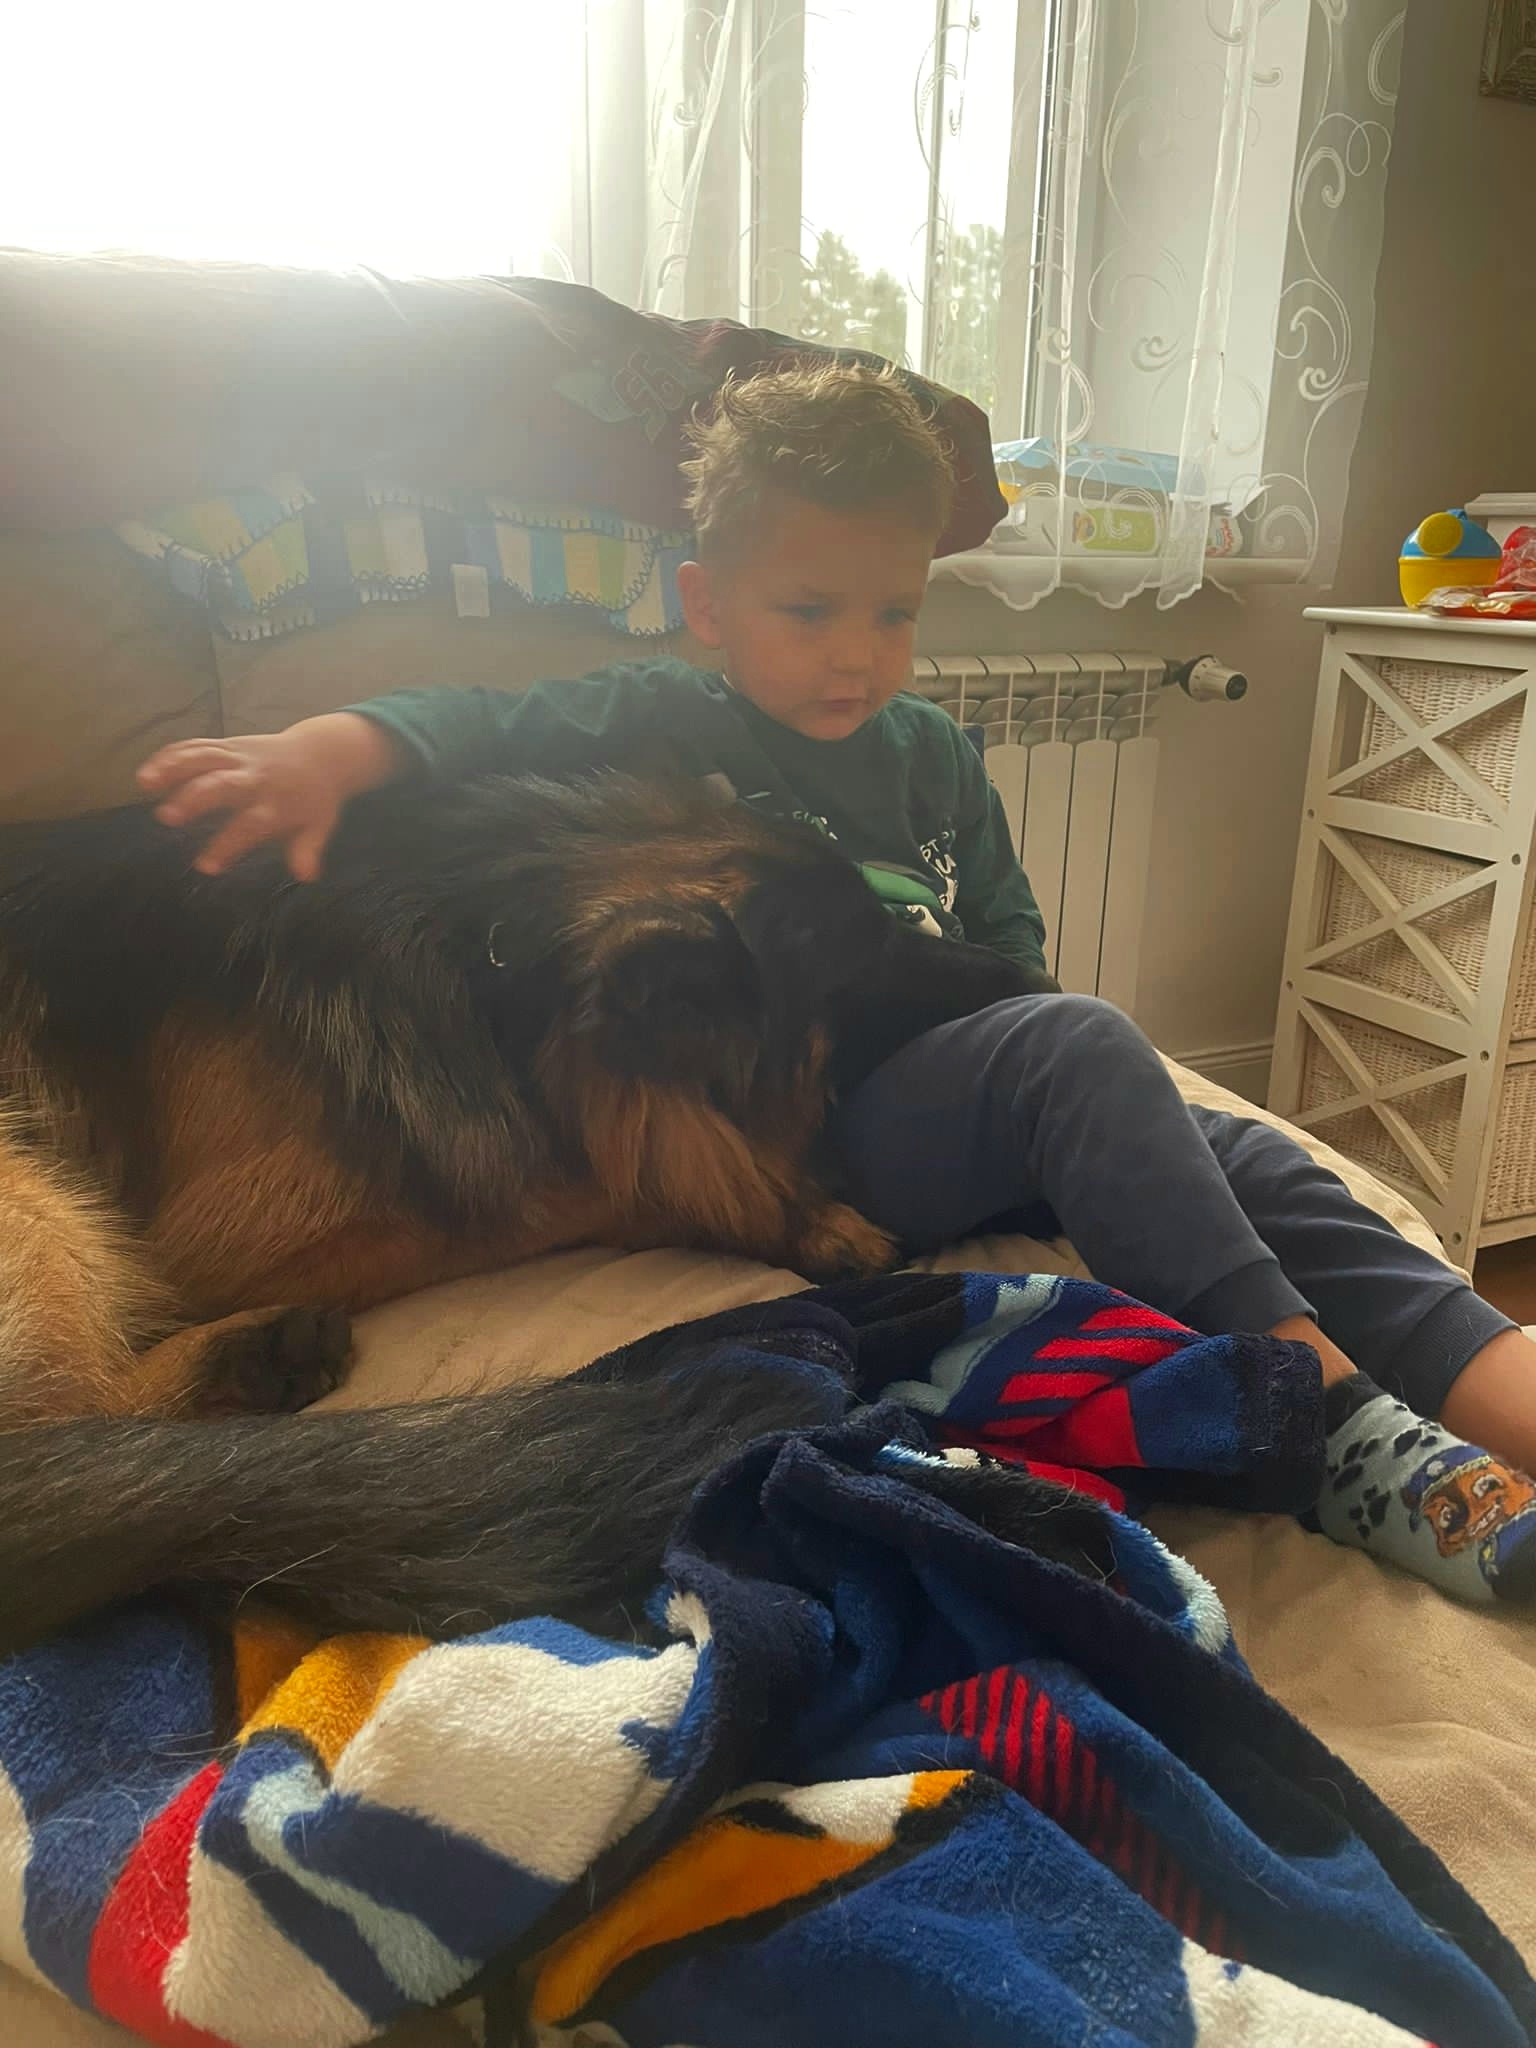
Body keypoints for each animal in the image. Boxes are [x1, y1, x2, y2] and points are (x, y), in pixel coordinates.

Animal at [0, 769, 1034, 1426]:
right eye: (865, 957)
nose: (1029, 969)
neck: (502, 962)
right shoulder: (219, 1252)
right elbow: (601, 1184)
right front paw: (798, 1214)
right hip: (44, 1203)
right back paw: (255, 1357)